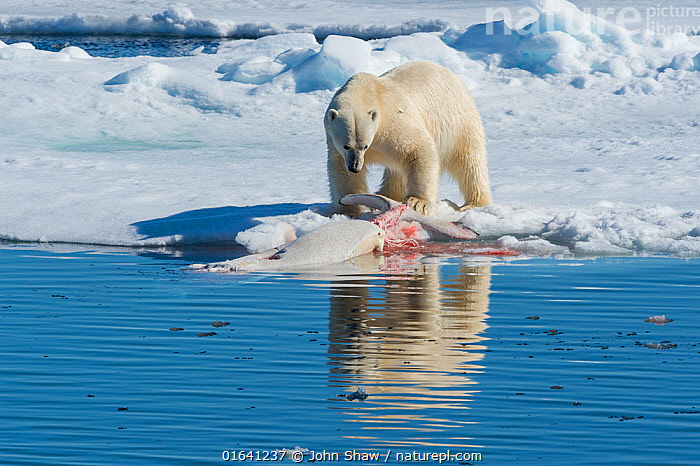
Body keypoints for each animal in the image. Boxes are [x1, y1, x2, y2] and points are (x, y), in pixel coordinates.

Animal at [324, 59, 492, 217]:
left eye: (365, 145)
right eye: (346, 145)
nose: (355, 167)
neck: (367, 91)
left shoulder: (394, 121)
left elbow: (418, 149)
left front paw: (418, 203)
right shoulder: (334, 140)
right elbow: (340, 168)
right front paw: (347, 209)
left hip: (460, 122)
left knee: (469, 162)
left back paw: (475, 203)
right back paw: (386, 194)